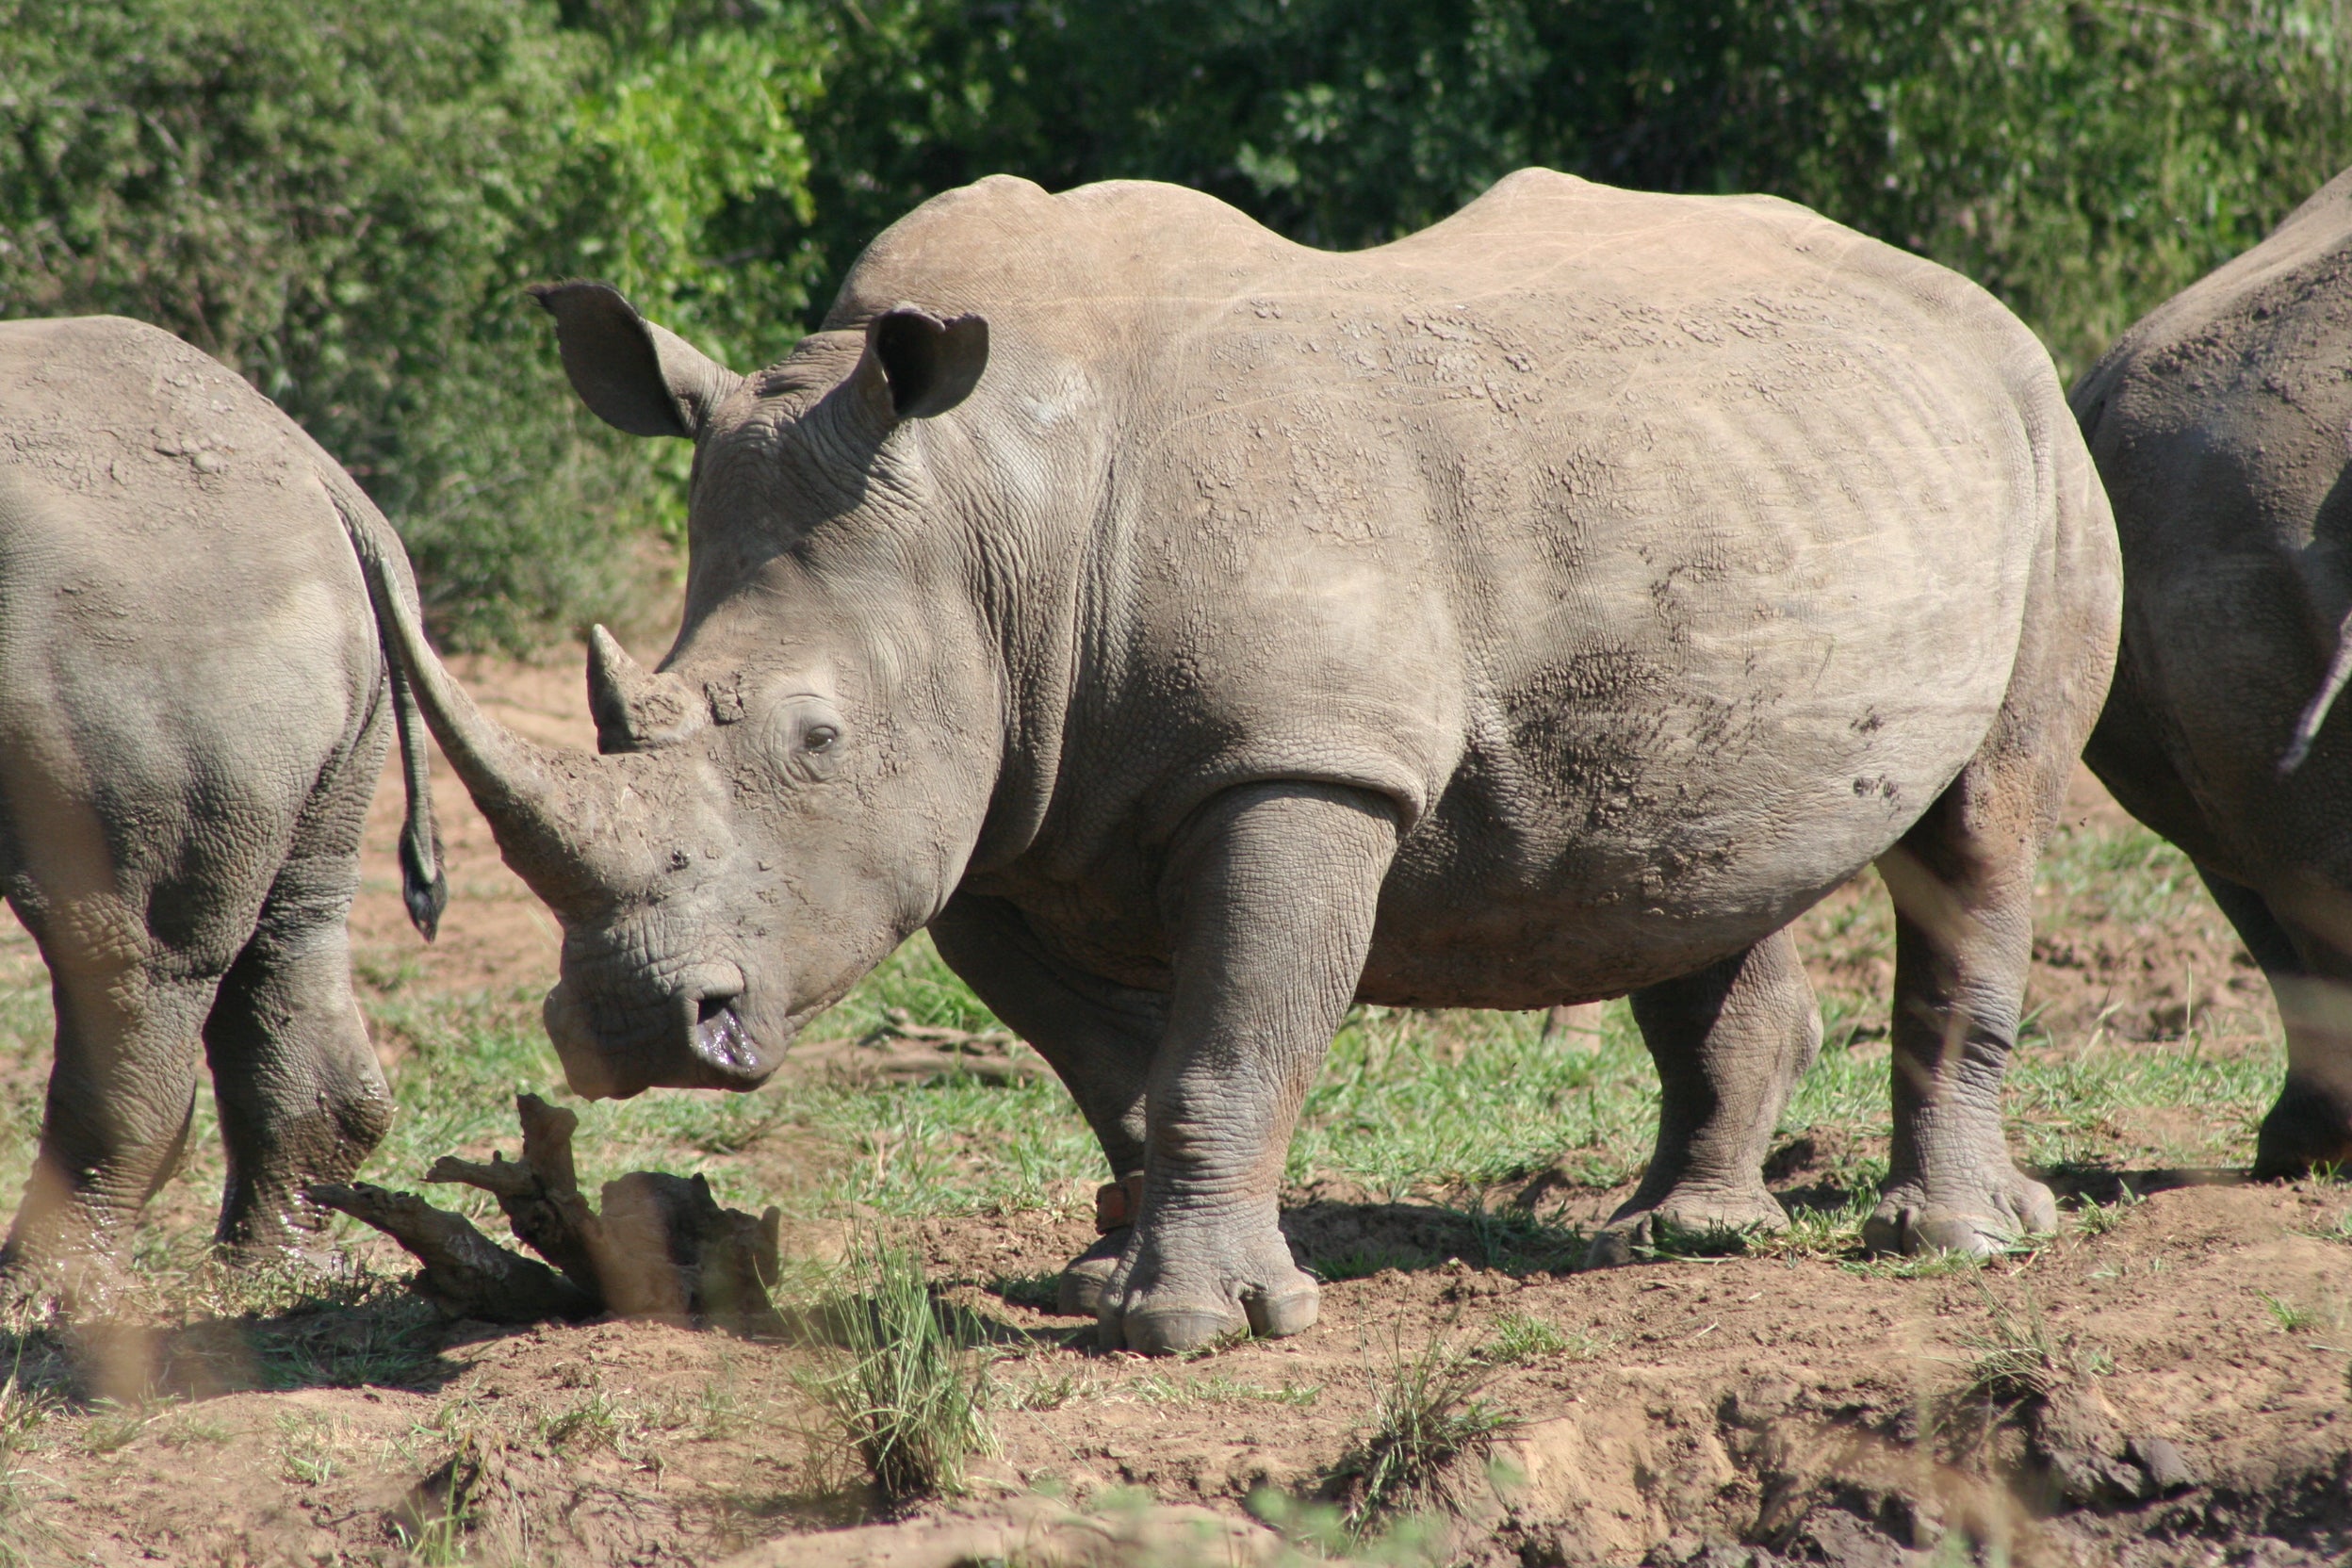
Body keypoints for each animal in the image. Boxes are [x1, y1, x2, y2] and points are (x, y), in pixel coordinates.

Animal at [0, 319, 444, 1288]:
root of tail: (327, 482)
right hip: (266, 619)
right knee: (293, 919)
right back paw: (273, 1274)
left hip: (143, 612)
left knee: (129, 950)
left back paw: (40, 1295)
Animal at [376, 165, 2126, 1353]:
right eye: (635, 706)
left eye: (815, 743)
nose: (632, 1027)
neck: (992, 511)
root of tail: (1965, 302)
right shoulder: (987, 812)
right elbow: (1111, 1062)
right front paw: (1111, 1274)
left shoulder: (1298, 760)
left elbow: (1231, 1033)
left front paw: (1196, 1327)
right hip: (1732, 477)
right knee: (1686, 850)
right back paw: (1679, 1236)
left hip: (2046, 443)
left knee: (1986, 828)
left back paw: (1950, 1244)